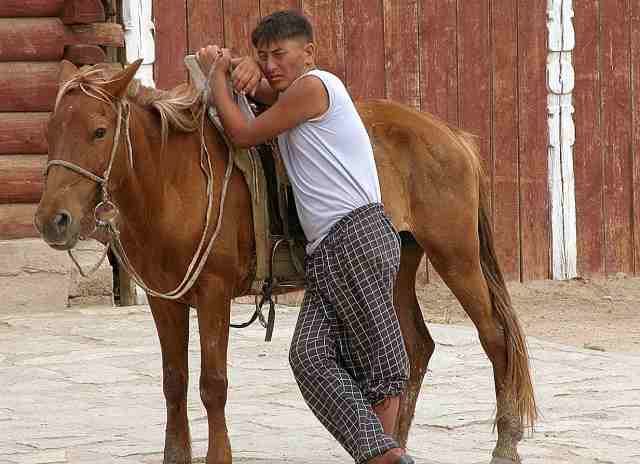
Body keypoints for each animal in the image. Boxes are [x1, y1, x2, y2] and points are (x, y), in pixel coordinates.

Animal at [34, 59, 537, 464]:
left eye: (99, 131)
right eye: (51, 131)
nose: (52, 220)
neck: (173, 182)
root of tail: (450, 134)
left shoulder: (213, 294)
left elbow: (212, 385)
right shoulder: (166, 300)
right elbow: (173, 382)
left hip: (456, 257)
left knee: (494, 338)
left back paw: (505, 444)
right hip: (398, 264)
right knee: (416, 347)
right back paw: (396, 441)